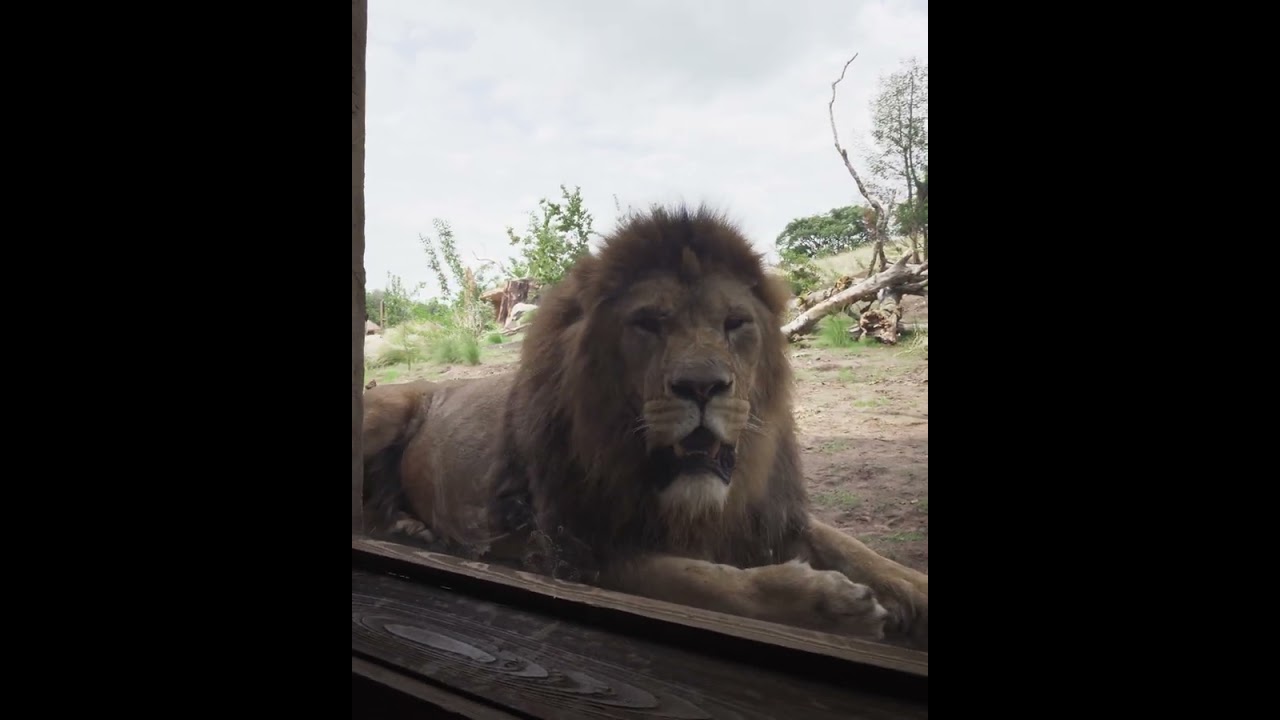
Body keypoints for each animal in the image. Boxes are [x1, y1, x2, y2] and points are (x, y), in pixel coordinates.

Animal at [361, 205, 928, 649]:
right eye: (649, 324)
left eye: (735, 324)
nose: (702, 386)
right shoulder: (575, 548)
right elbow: (705, 581)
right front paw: (830, 604)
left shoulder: (770, 512)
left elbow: (861, 552)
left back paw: (408, 526)